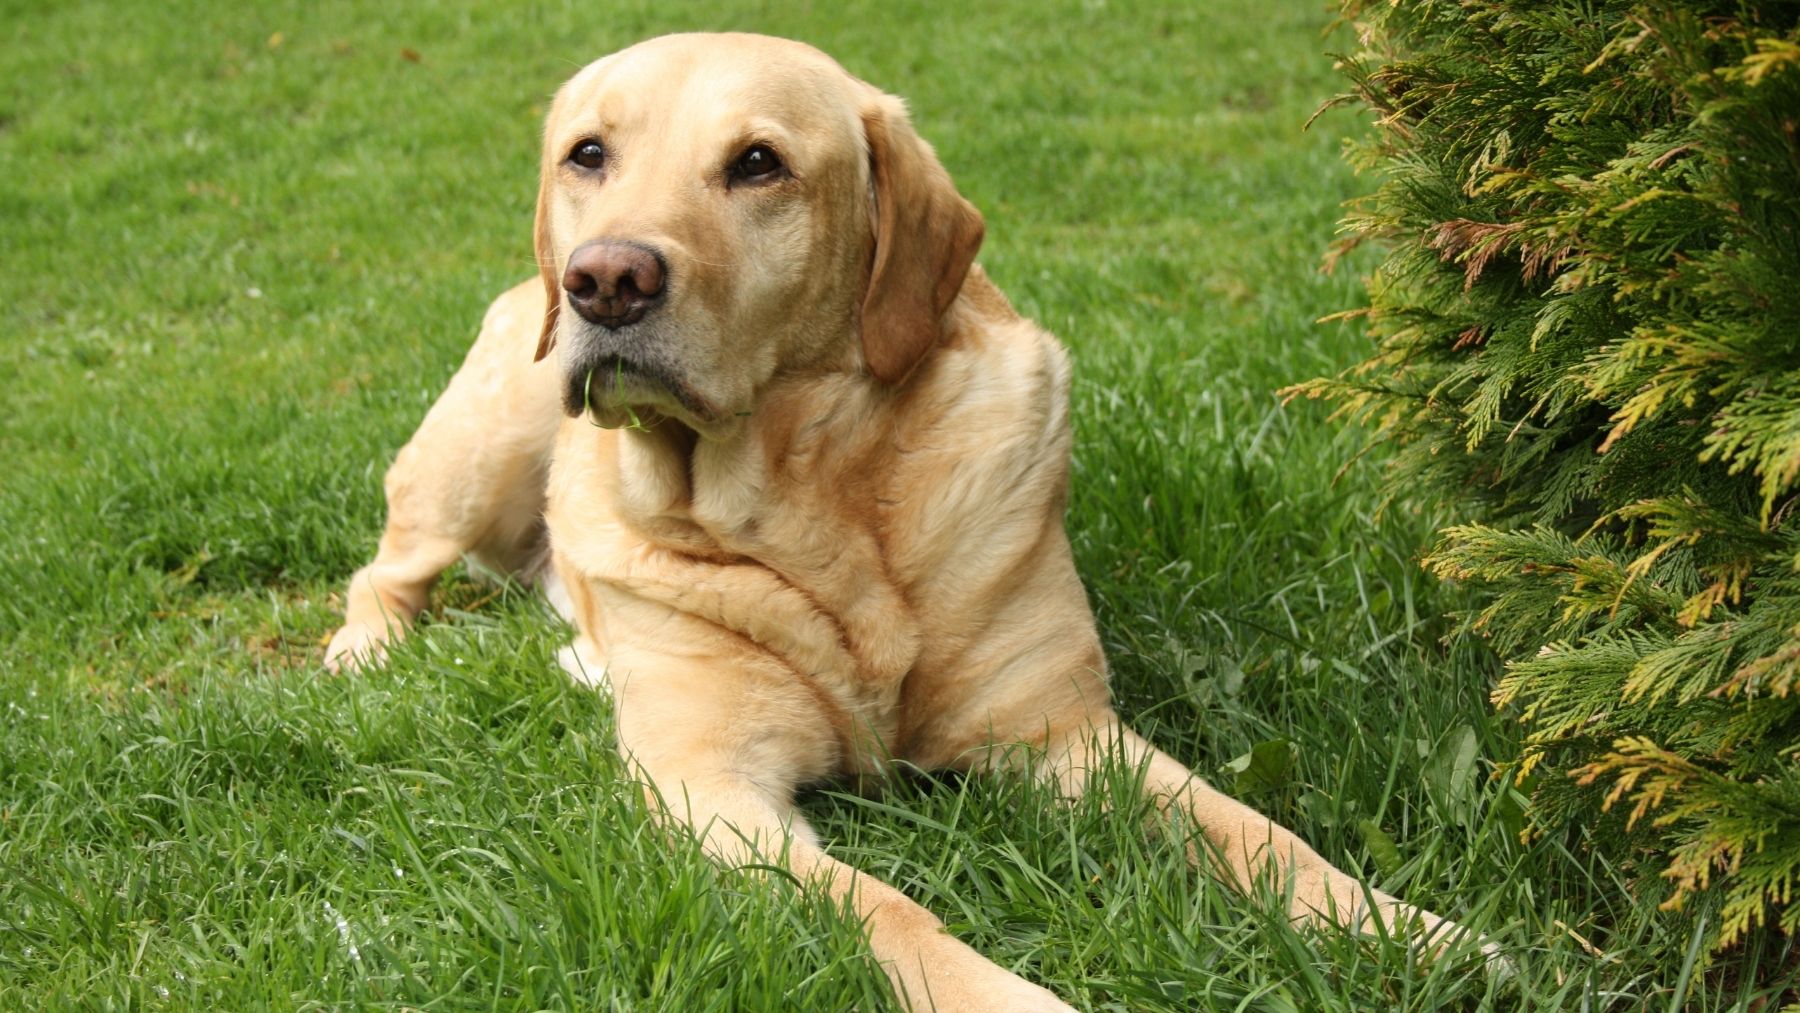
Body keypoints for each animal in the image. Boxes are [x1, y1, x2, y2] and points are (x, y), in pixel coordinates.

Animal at [331, 33, 1483, 1013]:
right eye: (589, 154)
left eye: (758, 163)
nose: (606, 279)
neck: (810, 505)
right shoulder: (711, 789)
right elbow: (885, 906)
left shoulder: (1069, 735)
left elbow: (1257, 833)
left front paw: (1410, 929)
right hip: (482, 449)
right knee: (386, 570)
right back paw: (363, 652)